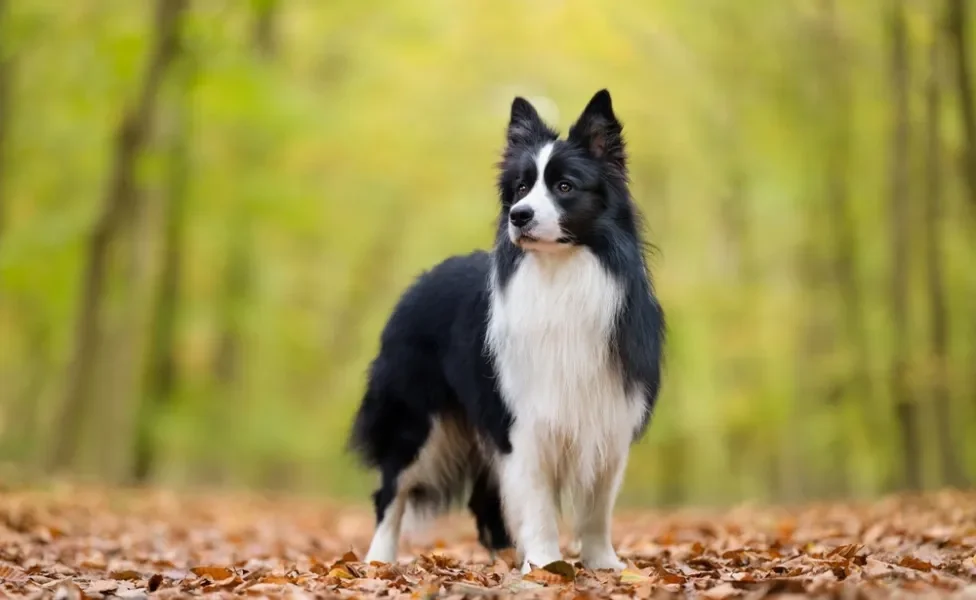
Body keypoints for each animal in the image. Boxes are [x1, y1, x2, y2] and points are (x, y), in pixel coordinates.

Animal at [348, 89, 664, 572]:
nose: (519, 215)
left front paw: (603, 565)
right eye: (519, 188)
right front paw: (547, 564)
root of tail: (418, 282)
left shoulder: (607, 413)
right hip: (418, 421)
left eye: (565, 186)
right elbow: (537, 501)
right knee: (391, 491)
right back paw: (378, 559)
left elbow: (597, 504)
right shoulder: (523, 419)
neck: (559, 275)